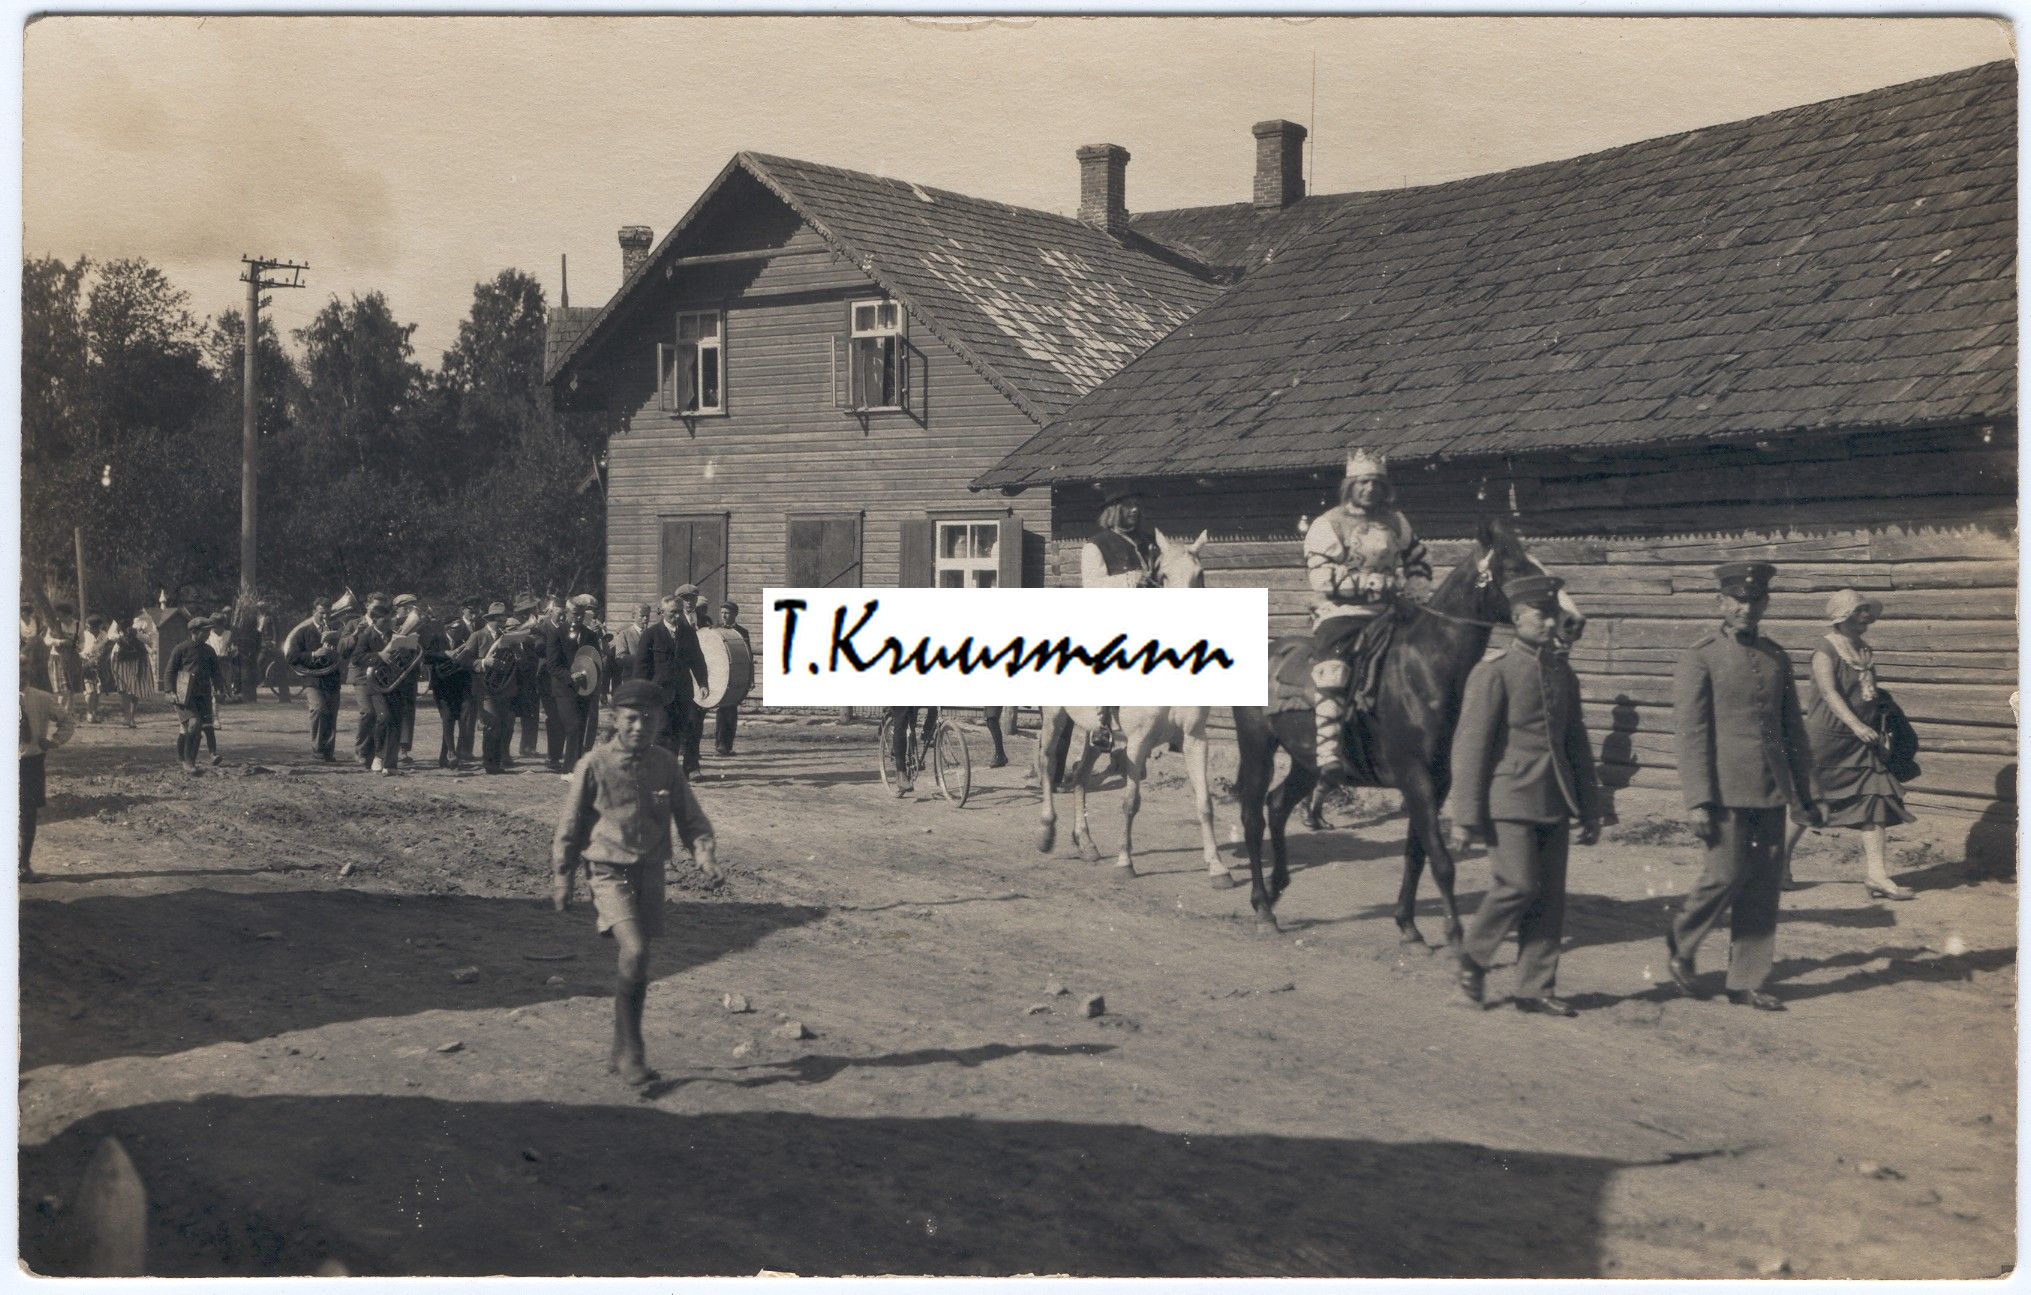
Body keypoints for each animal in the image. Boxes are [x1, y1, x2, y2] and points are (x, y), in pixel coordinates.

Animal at [1033, 529, 1223, 884]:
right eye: (1164, 575)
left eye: (1200, 574)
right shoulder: (1138, 743)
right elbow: (1130, 802)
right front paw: (1125, 862)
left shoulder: (1195, 739)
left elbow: (1204, 801)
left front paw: (1218, 866)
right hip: (1055, 716)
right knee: (1048, 763)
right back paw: (1046, 832)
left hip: (1096, 733)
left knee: (1080, 773)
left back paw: (1086, 843)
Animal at [1230, 516, 1587, 946]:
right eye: (1517, 567)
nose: (1573, 621)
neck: (1423, 670)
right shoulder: (1414, 777)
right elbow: (1441, 858)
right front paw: (1453, 933)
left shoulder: (1438, 780)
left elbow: (1417, 853)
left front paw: (1408, 925)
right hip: (1257, 749)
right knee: (1253, 818)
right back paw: (1263, 907)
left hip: (1306, 761)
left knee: (1278, 805)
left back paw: (1277, 885)